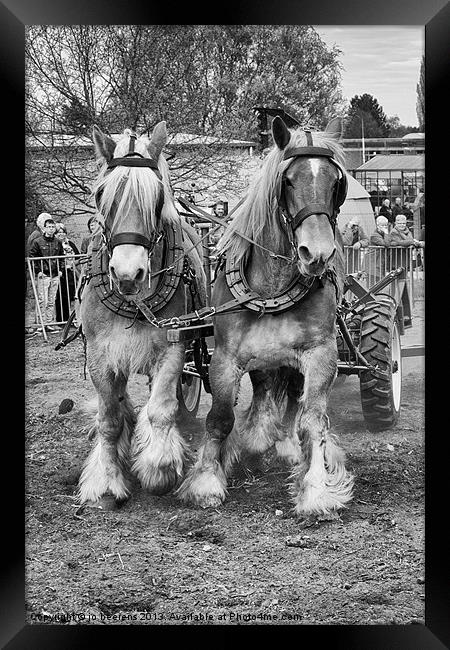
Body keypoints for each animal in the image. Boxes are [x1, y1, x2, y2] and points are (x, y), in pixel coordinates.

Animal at [78, 121, 207, 506]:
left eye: (159, 197)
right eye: (101, 194)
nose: (127, 275)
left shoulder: (173, 348)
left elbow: (161, 409)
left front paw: (159, 466)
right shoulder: (100, 355)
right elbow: (108, 419)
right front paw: (107, 481)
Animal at [179, 116, 356, 520]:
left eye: (336, 183)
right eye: (287, 180)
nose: (317, 253)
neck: (272, 288)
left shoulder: (321, 355)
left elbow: (312, 422)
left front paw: (315, 488)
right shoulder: (225, 358)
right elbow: (219, 418)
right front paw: (207, 481)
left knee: (290, 398)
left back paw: (285, 444)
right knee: (263, 390)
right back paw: (260, 435)